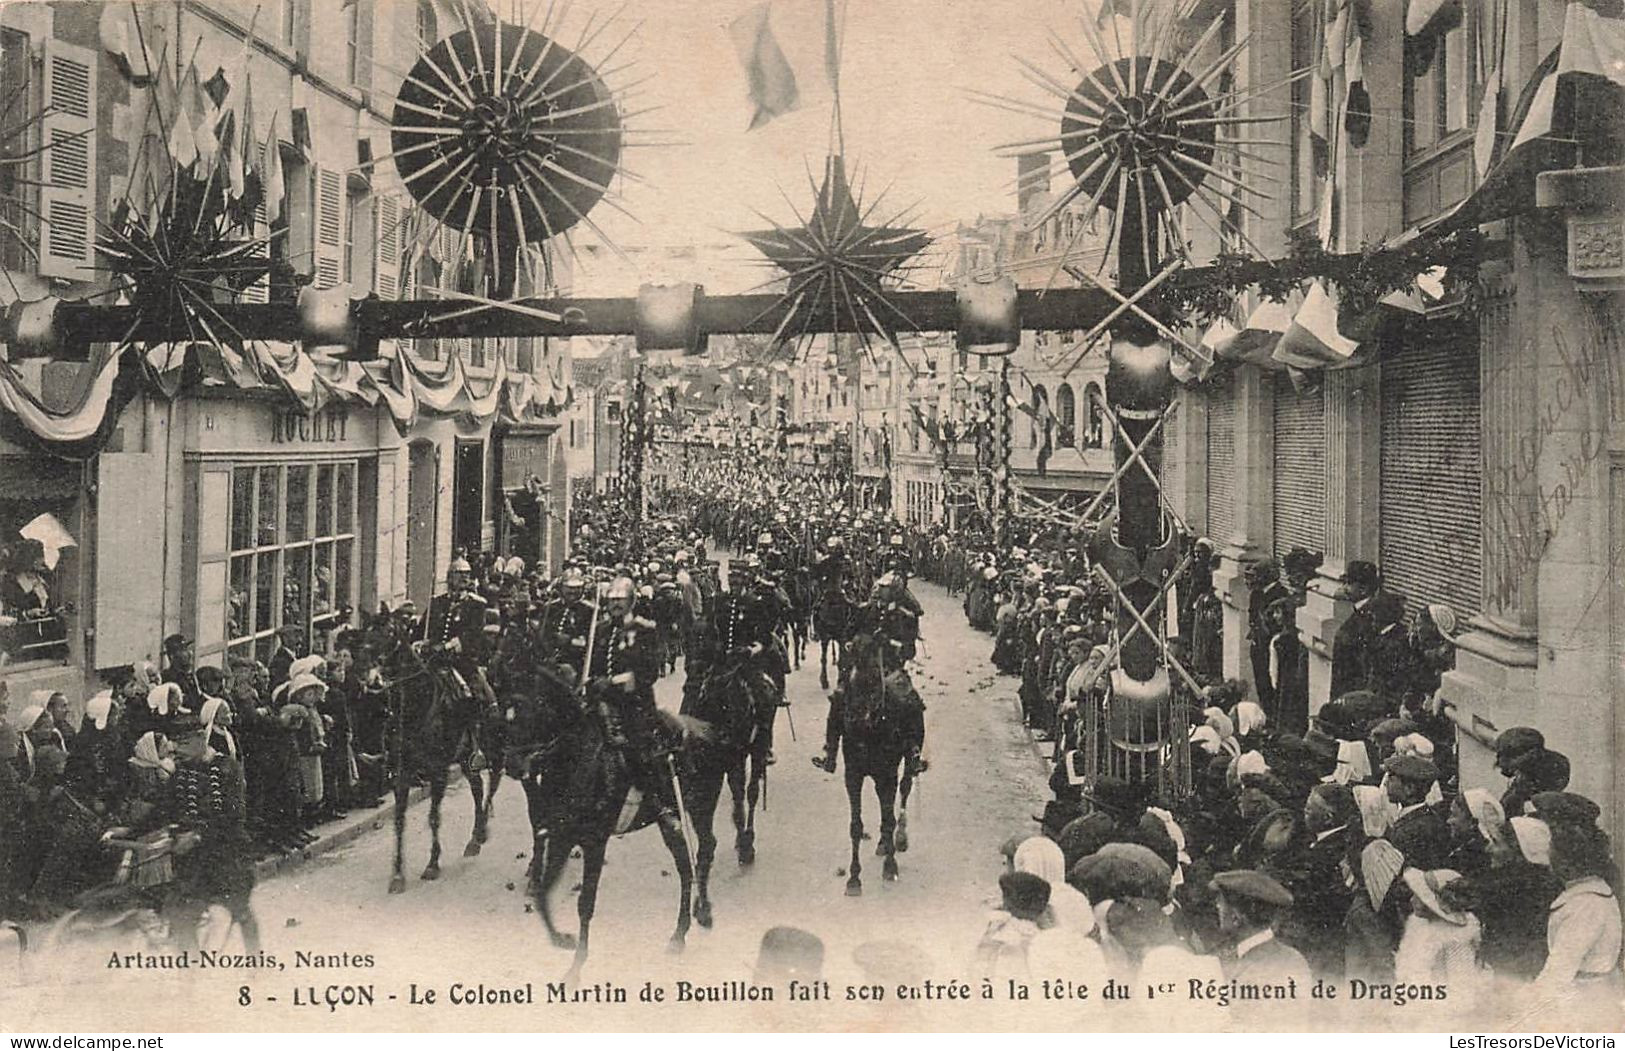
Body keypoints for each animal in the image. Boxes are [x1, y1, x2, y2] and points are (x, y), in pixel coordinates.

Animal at [370, 607, 507, 896]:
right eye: (366, 634)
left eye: (389, 633)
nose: (373, 680)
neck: (415, 707)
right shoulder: (402, 771)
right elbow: (399, 819)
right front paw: (397, 875)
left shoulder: (438, 770)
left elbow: (433, 817)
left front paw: (432, 865)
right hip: (465, 759)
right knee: (477, 788)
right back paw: (474, 838)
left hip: (494, 748)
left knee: (493, 784)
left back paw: (481, 832)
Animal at [507, 662, 698, 981]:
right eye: (505, 710)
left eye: (536, 705)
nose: (510, 764)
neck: (576, 760)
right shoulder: (562, 837)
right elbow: (544, 893)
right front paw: (562, 940)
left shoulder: (594, 842)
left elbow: (585, 903)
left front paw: (576, 967)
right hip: (668, 820)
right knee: (685, 864)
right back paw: (680, 933)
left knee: (696, 859)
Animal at [838, 630, 916, 903]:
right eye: (850, 680)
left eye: (874, 678)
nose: (857, 719)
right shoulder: (853, 776)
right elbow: (855, 826)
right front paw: (853, 878)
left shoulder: (887, 775)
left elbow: (889, 819)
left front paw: (890, 867)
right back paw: (884, 844)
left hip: (907, 764)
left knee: (905, 789)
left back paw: (899, 838)